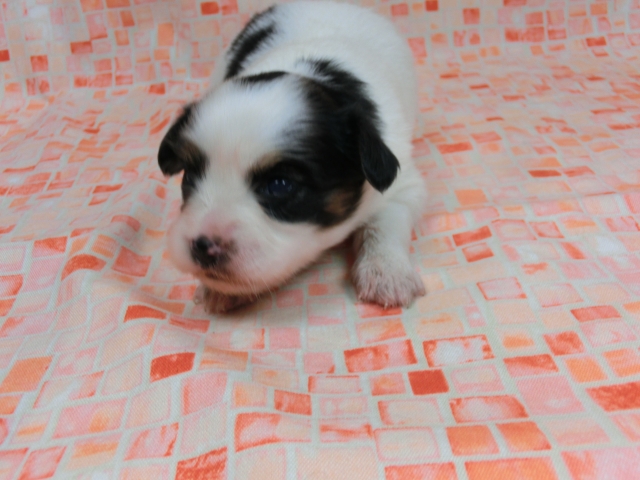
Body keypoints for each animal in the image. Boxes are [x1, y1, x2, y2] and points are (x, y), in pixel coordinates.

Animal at [158, 1, 426, 313]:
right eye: (190, 175)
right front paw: (222, 290)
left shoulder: (403, 182)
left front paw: (386, 270)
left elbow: (384, 222)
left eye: (279, 185)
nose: (202, 246)